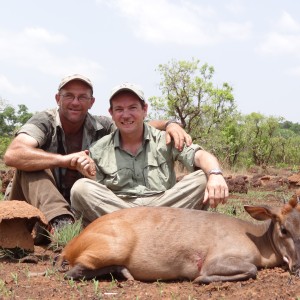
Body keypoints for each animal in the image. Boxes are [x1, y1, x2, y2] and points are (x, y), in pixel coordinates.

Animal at [55, 198, 300, 282]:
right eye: (283, 229)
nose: (297, 266)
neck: (256, 240)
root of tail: (72, 244)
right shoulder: (216, 259)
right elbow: (251, 269)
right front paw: (200, 279)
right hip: (113, 248)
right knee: (72, 272)